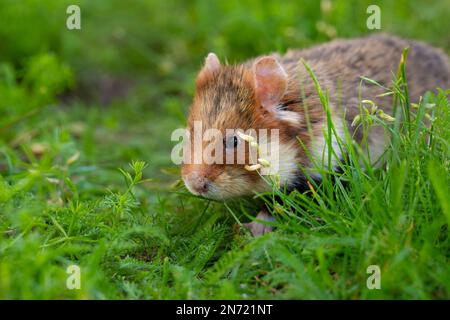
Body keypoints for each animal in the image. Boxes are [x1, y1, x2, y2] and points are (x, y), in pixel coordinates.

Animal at [181, 33, 450, 236]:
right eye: (190, 132)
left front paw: (251, 229)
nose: (194, 186)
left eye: (233, 141)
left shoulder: (321, 174)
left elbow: (279, 206)